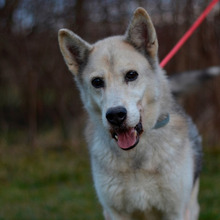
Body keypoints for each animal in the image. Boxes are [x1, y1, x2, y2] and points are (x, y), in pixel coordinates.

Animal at [57, 6, 202, 220]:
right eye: (97, 82)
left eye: (131, 75)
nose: (116, 115)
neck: (136, 158)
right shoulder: (115, 212)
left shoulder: (175, 211)